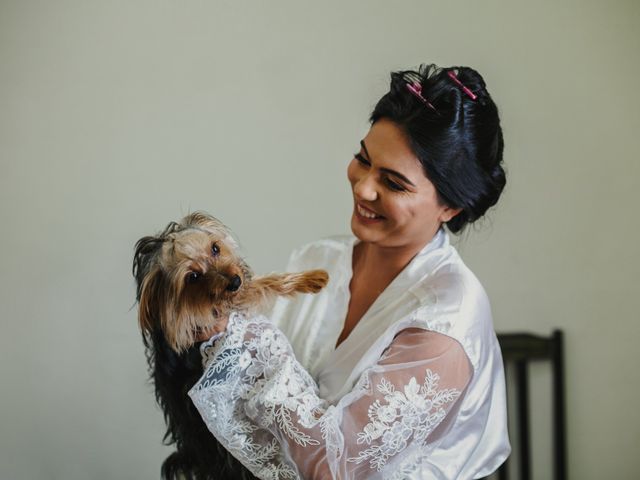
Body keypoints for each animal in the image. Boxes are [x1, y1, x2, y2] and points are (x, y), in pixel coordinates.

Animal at [132, 213, 328, 480]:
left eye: (215, 248)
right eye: (193, 277)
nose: (235, 281)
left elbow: (255, 285)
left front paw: (311, 279)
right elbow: (259, 287)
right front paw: (311, 279)